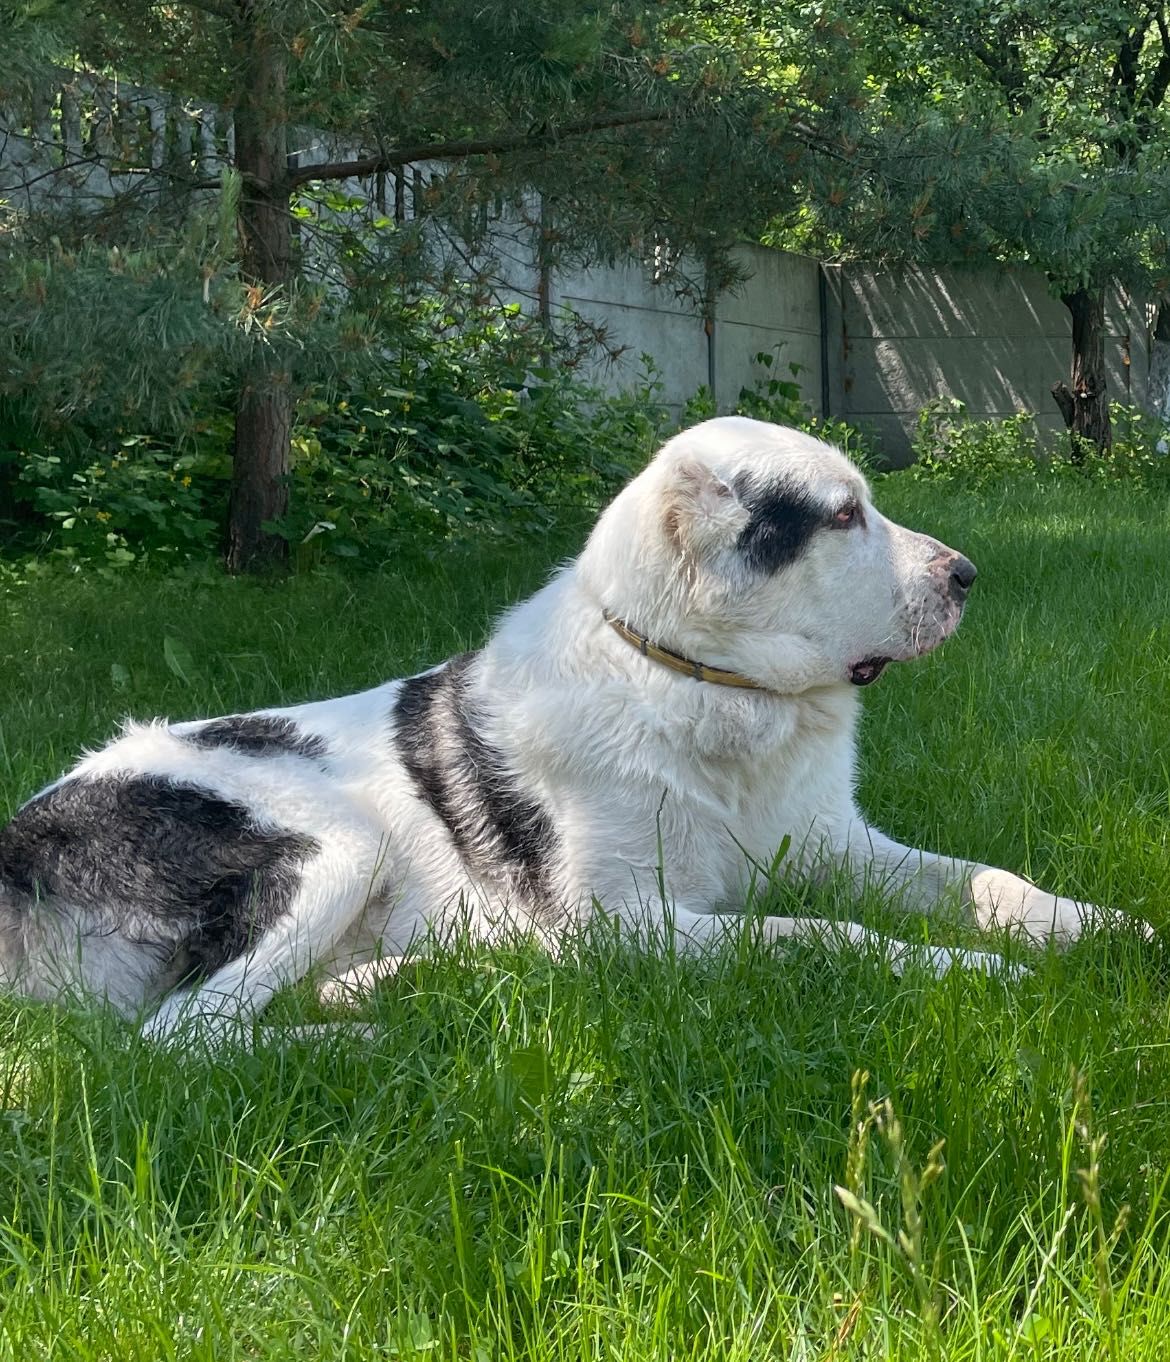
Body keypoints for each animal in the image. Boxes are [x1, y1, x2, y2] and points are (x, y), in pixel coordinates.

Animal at [0, 416, 1100, 1040]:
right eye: (840, 516)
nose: (965, 576)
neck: (699, 686)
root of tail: (18, 843)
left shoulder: (840, 845)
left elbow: (987, 881)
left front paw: (1092, 929)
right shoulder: (627, 920)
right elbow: (821, 935)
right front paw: (974, 974)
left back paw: (407, 989)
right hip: (333, 841)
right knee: (179, 1042)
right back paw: (365, 1043)